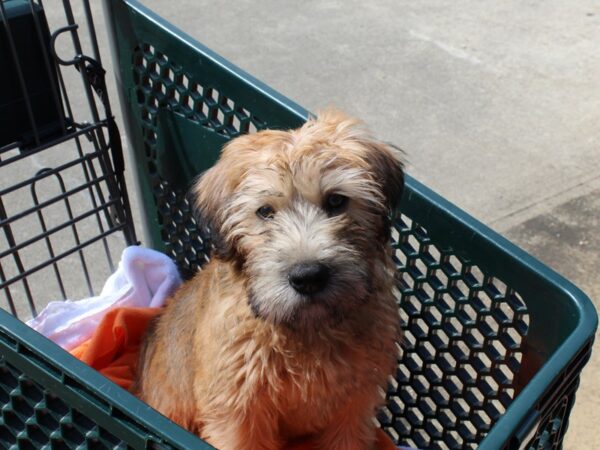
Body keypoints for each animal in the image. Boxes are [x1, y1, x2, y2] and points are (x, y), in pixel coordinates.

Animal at [136, 110, 404, 450]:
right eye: (264, 211)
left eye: (336, 201)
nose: (307, 277)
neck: (307, 332)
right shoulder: (238, 412)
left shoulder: (354, 407)